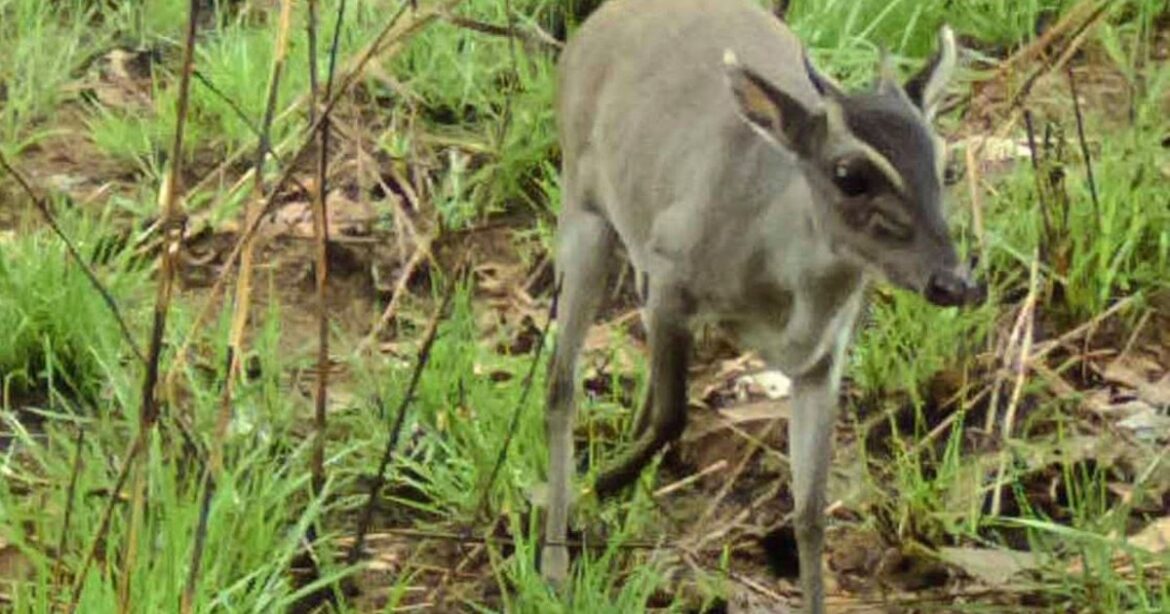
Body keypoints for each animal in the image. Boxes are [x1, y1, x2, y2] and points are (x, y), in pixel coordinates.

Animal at [541, 0, 984, 611]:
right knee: (561, 383)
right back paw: (556, 560)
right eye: (849, 175)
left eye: (944, 164)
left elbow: (810, 513)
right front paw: (597, 487)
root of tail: (593, 25)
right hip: (583, 209)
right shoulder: (671, 277)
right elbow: (673, 415)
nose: (953, 282)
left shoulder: (823, 357)